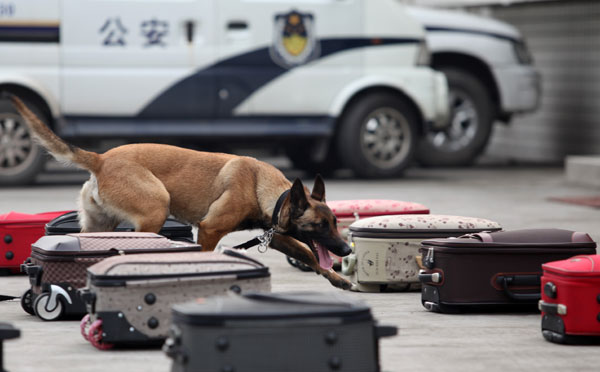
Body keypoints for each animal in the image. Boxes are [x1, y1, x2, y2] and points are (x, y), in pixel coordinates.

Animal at [9, 93, 354, 290]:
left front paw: (338, 278)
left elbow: (308, 254)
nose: (346, 250)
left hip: (99, 225)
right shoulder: (210, 229)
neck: (260, 185)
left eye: (335, 223)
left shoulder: (276, 235)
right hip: (156, 209)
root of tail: (102, 159)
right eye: (319, 226)